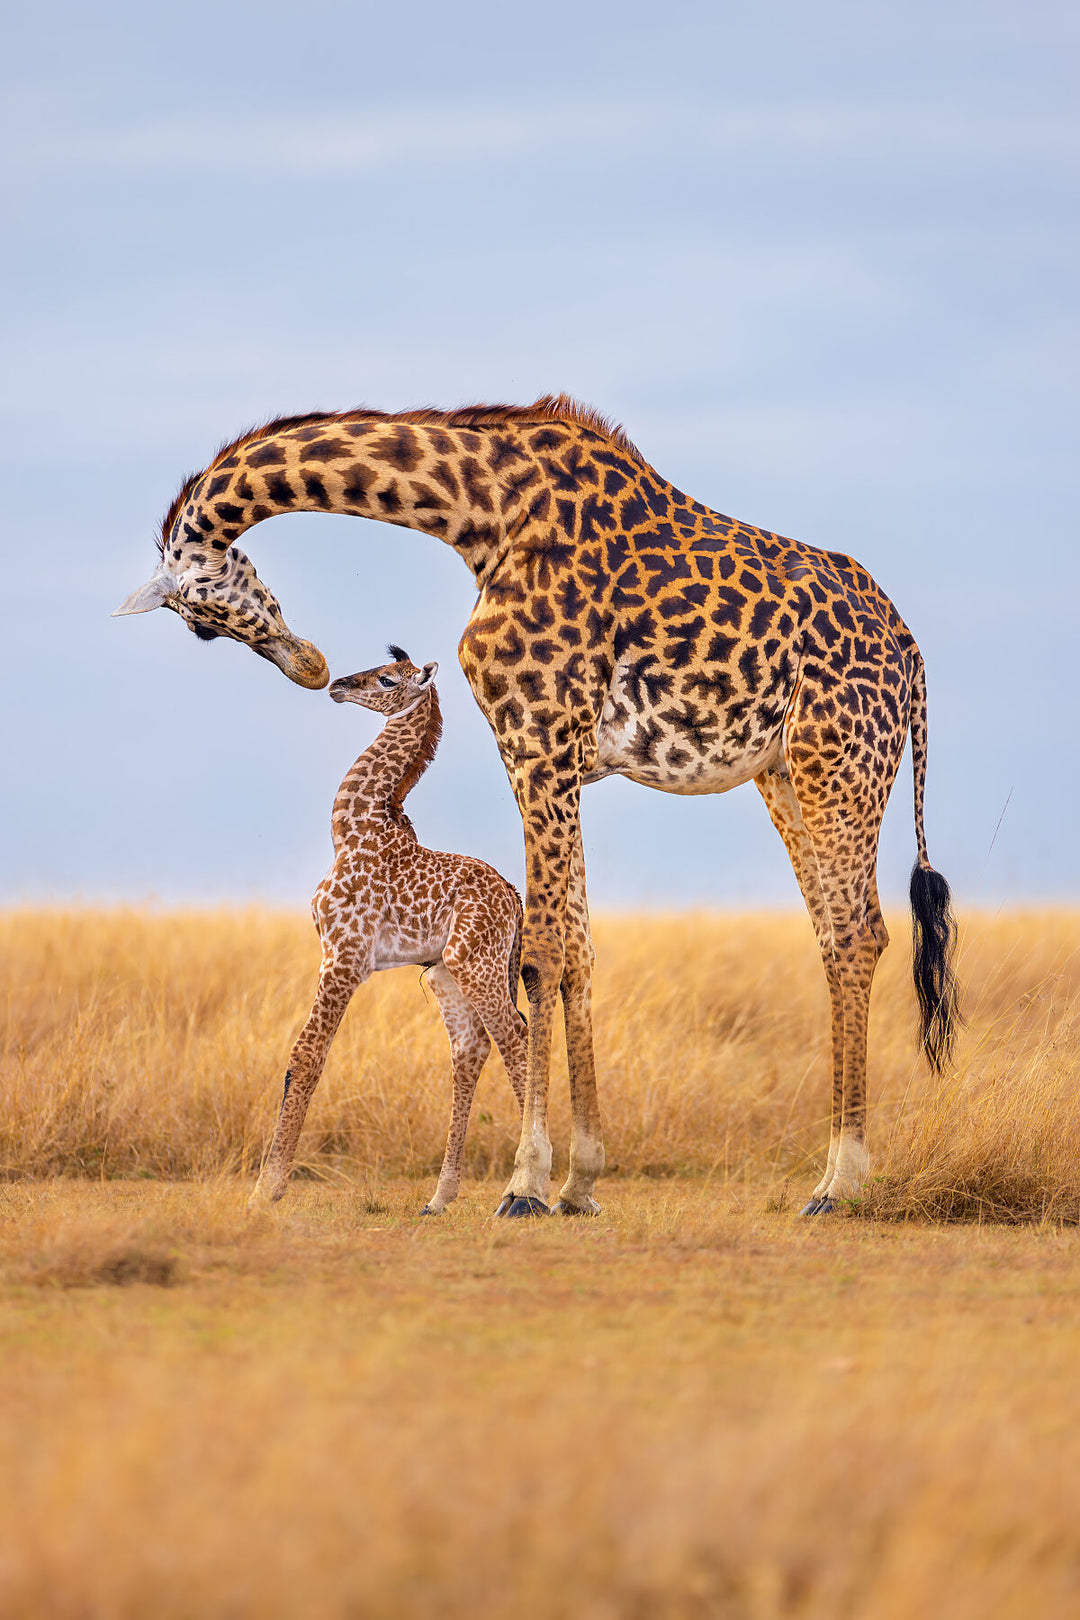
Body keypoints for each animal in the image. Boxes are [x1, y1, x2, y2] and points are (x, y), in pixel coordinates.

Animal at [250, 647, 527, 1214]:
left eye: (386, 678)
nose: (337, 684)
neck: (352, 832)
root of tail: (513, 896)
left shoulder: (343, 955)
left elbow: (306, 1055)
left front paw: (267, 1189)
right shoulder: (345, 956)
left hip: (477, 963)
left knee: (516, 1036)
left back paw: (525, 1189)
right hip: (446, 971)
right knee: (470, 1049)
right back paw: (439, 1198)